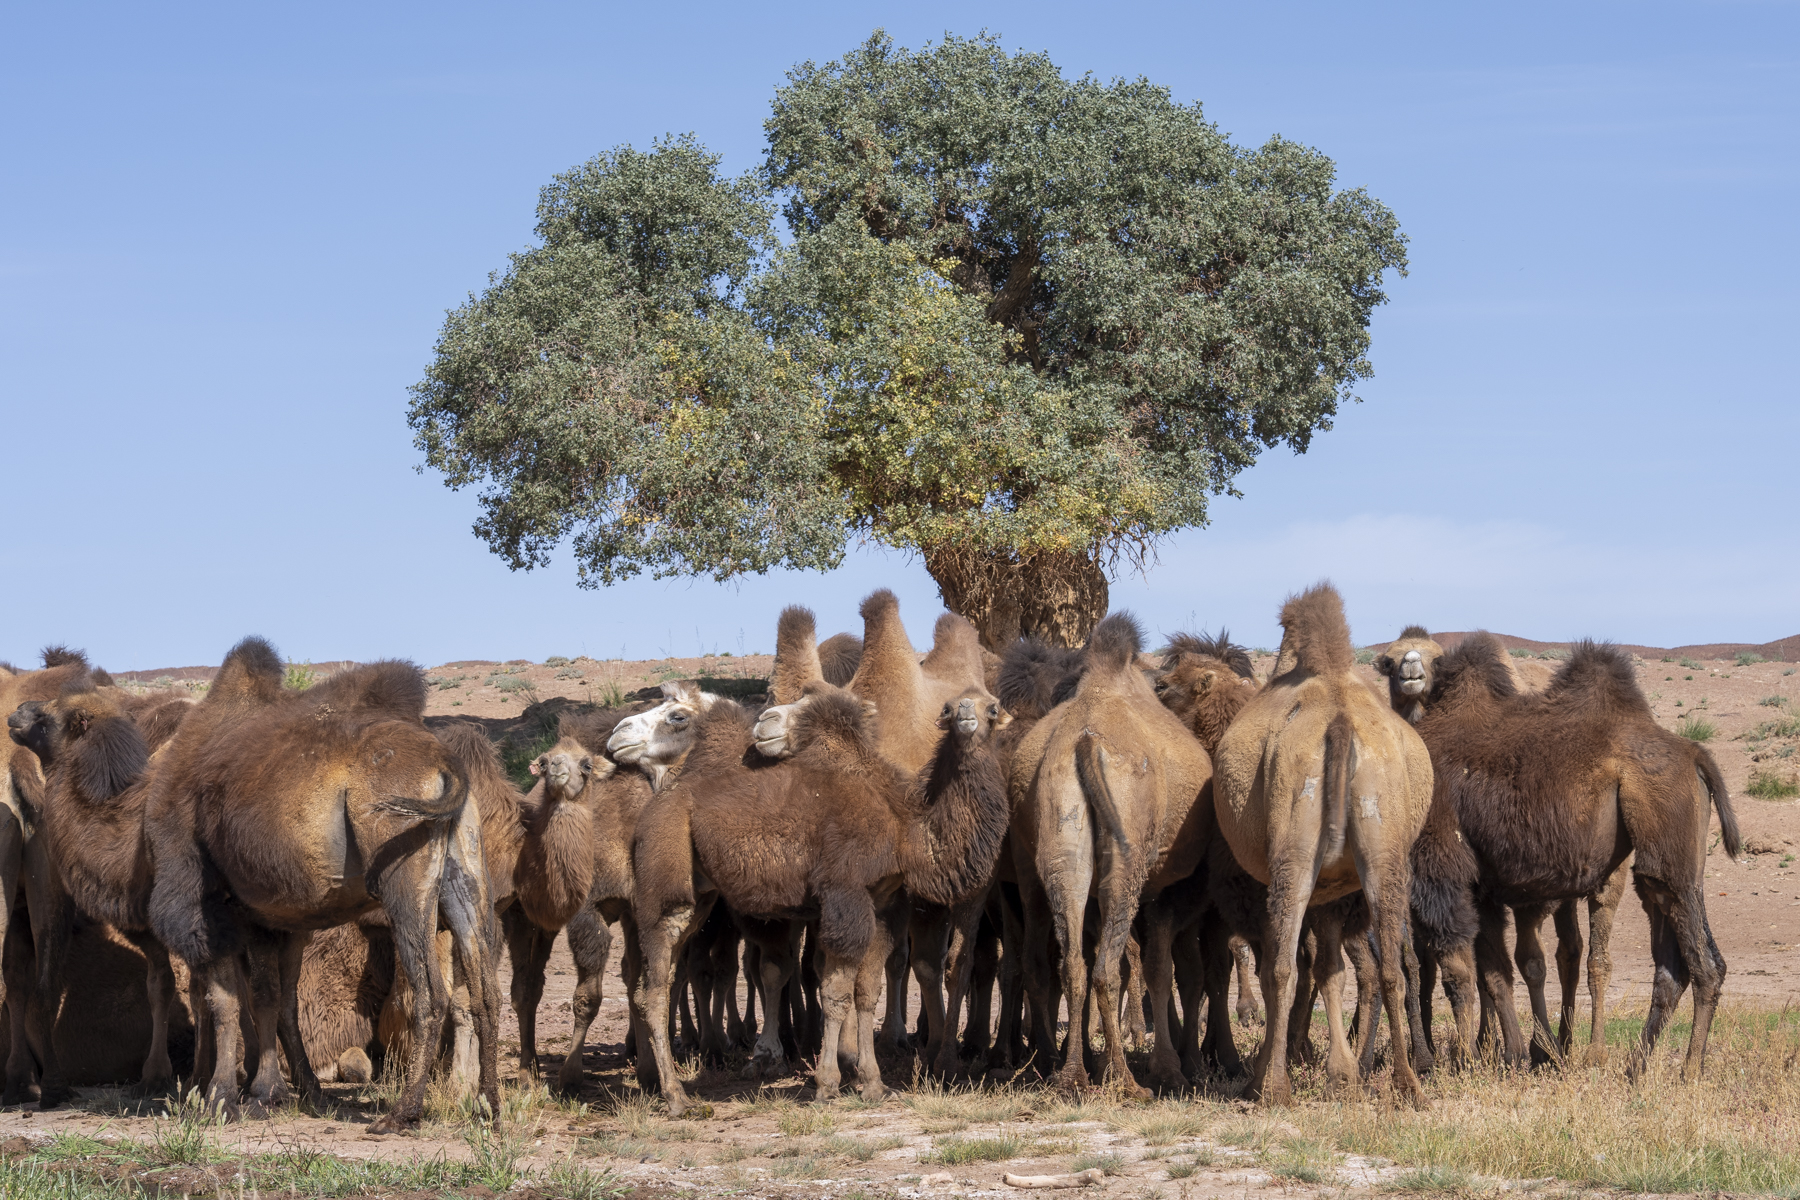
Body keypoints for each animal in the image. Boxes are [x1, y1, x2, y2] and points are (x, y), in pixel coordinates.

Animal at [142, 637, 500, 1129]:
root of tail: (447, 766)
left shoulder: (208, 904)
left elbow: (226, 1001)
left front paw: (220, 1098)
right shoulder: (276, 919)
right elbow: (277, 1000)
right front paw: (290, 1093)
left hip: (403, 878)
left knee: (432, 993)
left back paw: (400, 1113)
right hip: (462, 872)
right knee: (484, 989)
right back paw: (488, 1108)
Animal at [631, 683, 1010, 1115]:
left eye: (993, 707)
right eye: (947, 708)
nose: (965, 714)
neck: (905, 827)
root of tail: (652, 810)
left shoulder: (881, 904)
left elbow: (867, 993)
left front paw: (874, 1084)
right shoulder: (845, 894)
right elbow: (836, 993)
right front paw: (828, 1084)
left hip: (700, 896)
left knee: (660, 978)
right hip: (664, 872)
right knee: (655, 988)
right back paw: (676, 1097)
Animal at [1009, 613, 1214, 1094]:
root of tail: (1085, 741)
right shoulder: (1163, 887)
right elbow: (1159, 967)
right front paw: (1167, 1068)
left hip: (1056, 841)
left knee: (1069, 963)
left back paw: (1070, 1074)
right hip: (1129, 860)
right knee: (1106, 966)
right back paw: (1124, 1081)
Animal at [1213, 583, 1432, 1106]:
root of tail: (1339, 721)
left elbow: (1304, 967)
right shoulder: (1334, 893)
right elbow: (1332, 970)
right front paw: (1343, 1074)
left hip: (1290, 852)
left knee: (1280, 967)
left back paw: (1270, 1086)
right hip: (1383, 846)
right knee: (1390, 968)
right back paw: (1408, 1084)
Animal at [1412, 633, 1740, 1078]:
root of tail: (1695, 756)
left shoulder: (1444, 867)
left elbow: (1458, 972)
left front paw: (1469, 1062)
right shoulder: (1484, 885)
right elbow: (1495, 973)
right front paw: (1516, 1056)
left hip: (1669, 847)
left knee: (1705, 965)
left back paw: (1688, 1072)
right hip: (1663, 866)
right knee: (1674, 960)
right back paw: (1635, 1068)